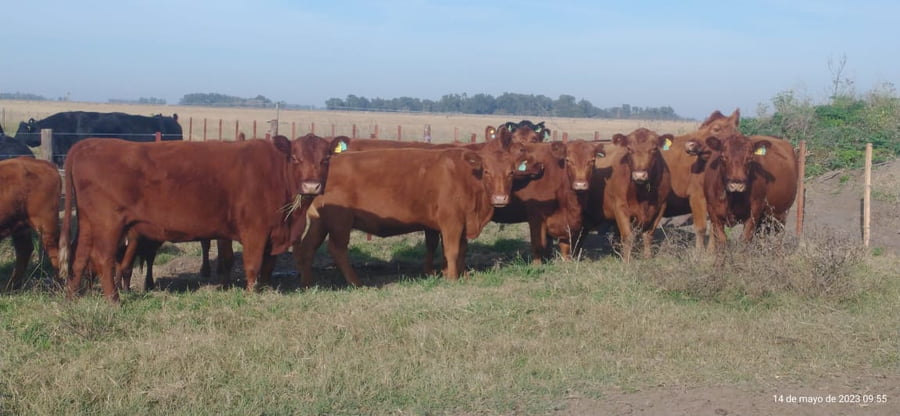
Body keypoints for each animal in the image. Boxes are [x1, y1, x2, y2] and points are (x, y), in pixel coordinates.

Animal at [0, 157, 60, 290]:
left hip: (46, 224)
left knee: (56, 251)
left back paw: (59, 286)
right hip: (20, 226)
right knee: (24, 249)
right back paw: (11, 286)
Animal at [59, 135, 341, 302]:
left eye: (326, 158)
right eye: (295, 158)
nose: (311, 185)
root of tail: (89, 143)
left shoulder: (274, 234)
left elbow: (268, 267)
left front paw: (266, 289)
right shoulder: (255, 231)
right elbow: (252, 265)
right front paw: (251, 294)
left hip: (88, 224)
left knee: (80, 256)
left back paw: (72, 296)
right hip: (109, 224)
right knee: (103, 259)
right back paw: (114, 300)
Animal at [293, 141, 534, 287]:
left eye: (511, 172)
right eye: (486, 171)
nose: (500, 199)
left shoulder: (462, 223)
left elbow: (462, 250)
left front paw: (461, 274)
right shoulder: (452, 221)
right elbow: (452, 251)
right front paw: (452, 278)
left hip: (320, 222)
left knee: (307, 248)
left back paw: (308, 282)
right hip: (340, 221)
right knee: (338, 249)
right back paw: (356, 282)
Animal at [585, 128, 673, 261]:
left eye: (654, 149)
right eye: (629, 149)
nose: (639, 175)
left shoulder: (661, 207)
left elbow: (648, 235)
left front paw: (647, 257)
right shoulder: (620, 207)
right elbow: (628, 236)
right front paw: (626, 261)